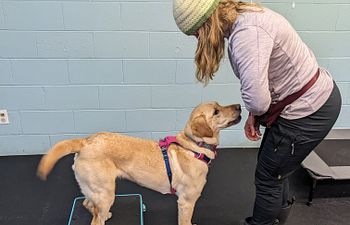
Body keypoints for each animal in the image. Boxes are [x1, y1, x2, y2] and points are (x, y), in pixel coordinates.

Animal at [37, 101, 241, 225]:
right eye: (216, 111)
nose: (240, 105)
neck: (194, 146)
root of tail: (85, 142)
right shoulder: (186, 202)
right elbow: (185, 222)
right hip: (105, 193)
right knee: (95, 218)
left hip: (95, 190)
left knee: (88, 205)